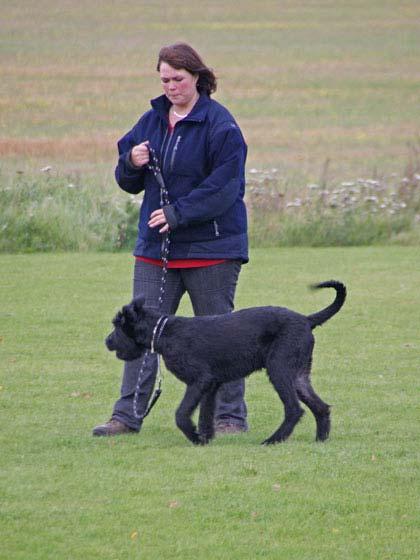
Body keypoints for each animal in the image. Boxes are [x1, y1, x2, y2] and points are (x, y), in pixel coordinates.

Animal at [106, 280, 346, 446]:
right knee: (321, 407)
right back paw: (320, 440)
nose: (107, 341)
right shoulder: (211, 385)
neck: (164, 332)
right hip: (299, 375)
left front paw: (194, 436)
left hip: (279, 371)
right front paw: (204, 438)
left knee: (294, 409)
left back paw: (273, 440)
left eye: (117, 325)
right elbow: (205, 414)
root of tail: (306, 320)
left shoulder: (199, 381)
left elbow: (181, 413)